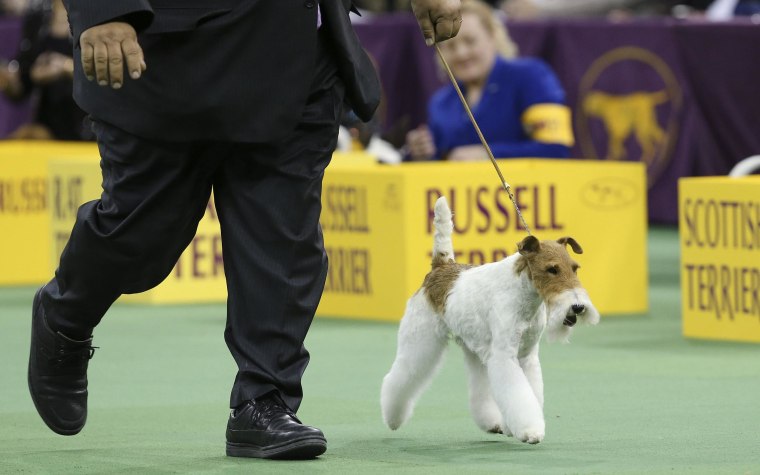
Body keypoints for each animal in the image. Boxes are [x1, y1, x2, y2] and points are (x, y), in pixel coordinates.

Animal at [380, 195, 600, 444]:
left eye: (575, 268)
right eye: (552, 269)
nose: (578, 307)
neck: (524, 294)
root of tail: (441, 266)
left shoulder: (526, 356)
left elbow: (531, 392)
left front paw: (519, 427)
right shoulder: (505, 355)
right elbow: (518, 395)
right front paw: (530, 430)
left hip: (475, 349)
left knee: (480, 390)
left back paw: (494, 423)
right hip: (420, 342)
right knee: (400, 377)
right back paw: (393, 418)